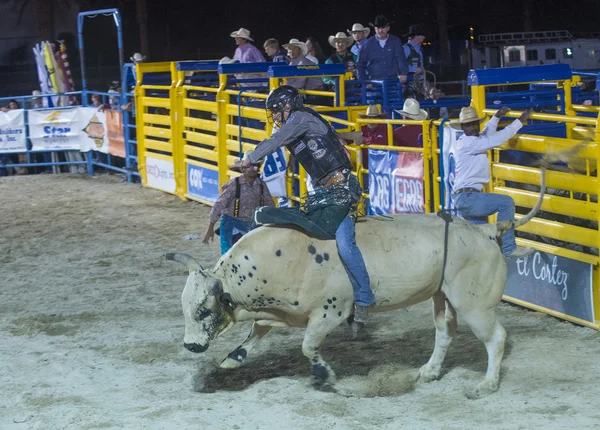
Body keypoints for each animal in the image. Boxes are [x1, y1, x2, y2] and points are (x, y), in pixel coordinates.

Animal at [165, 172, 548, 400]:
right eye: (185, 308)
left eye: (204, 310)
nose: (191, 345)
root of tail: (485, 231)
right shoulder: (276, 311)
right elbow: (257, 332)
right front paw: (232, 360)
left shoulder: (330, 312)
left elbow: (308, 346)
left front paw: (325, 375)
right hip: (442, 297)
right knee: (444, 332)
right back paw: (428, 372)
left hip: (475, 303)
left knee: (495, 337)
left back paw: (486, 384)